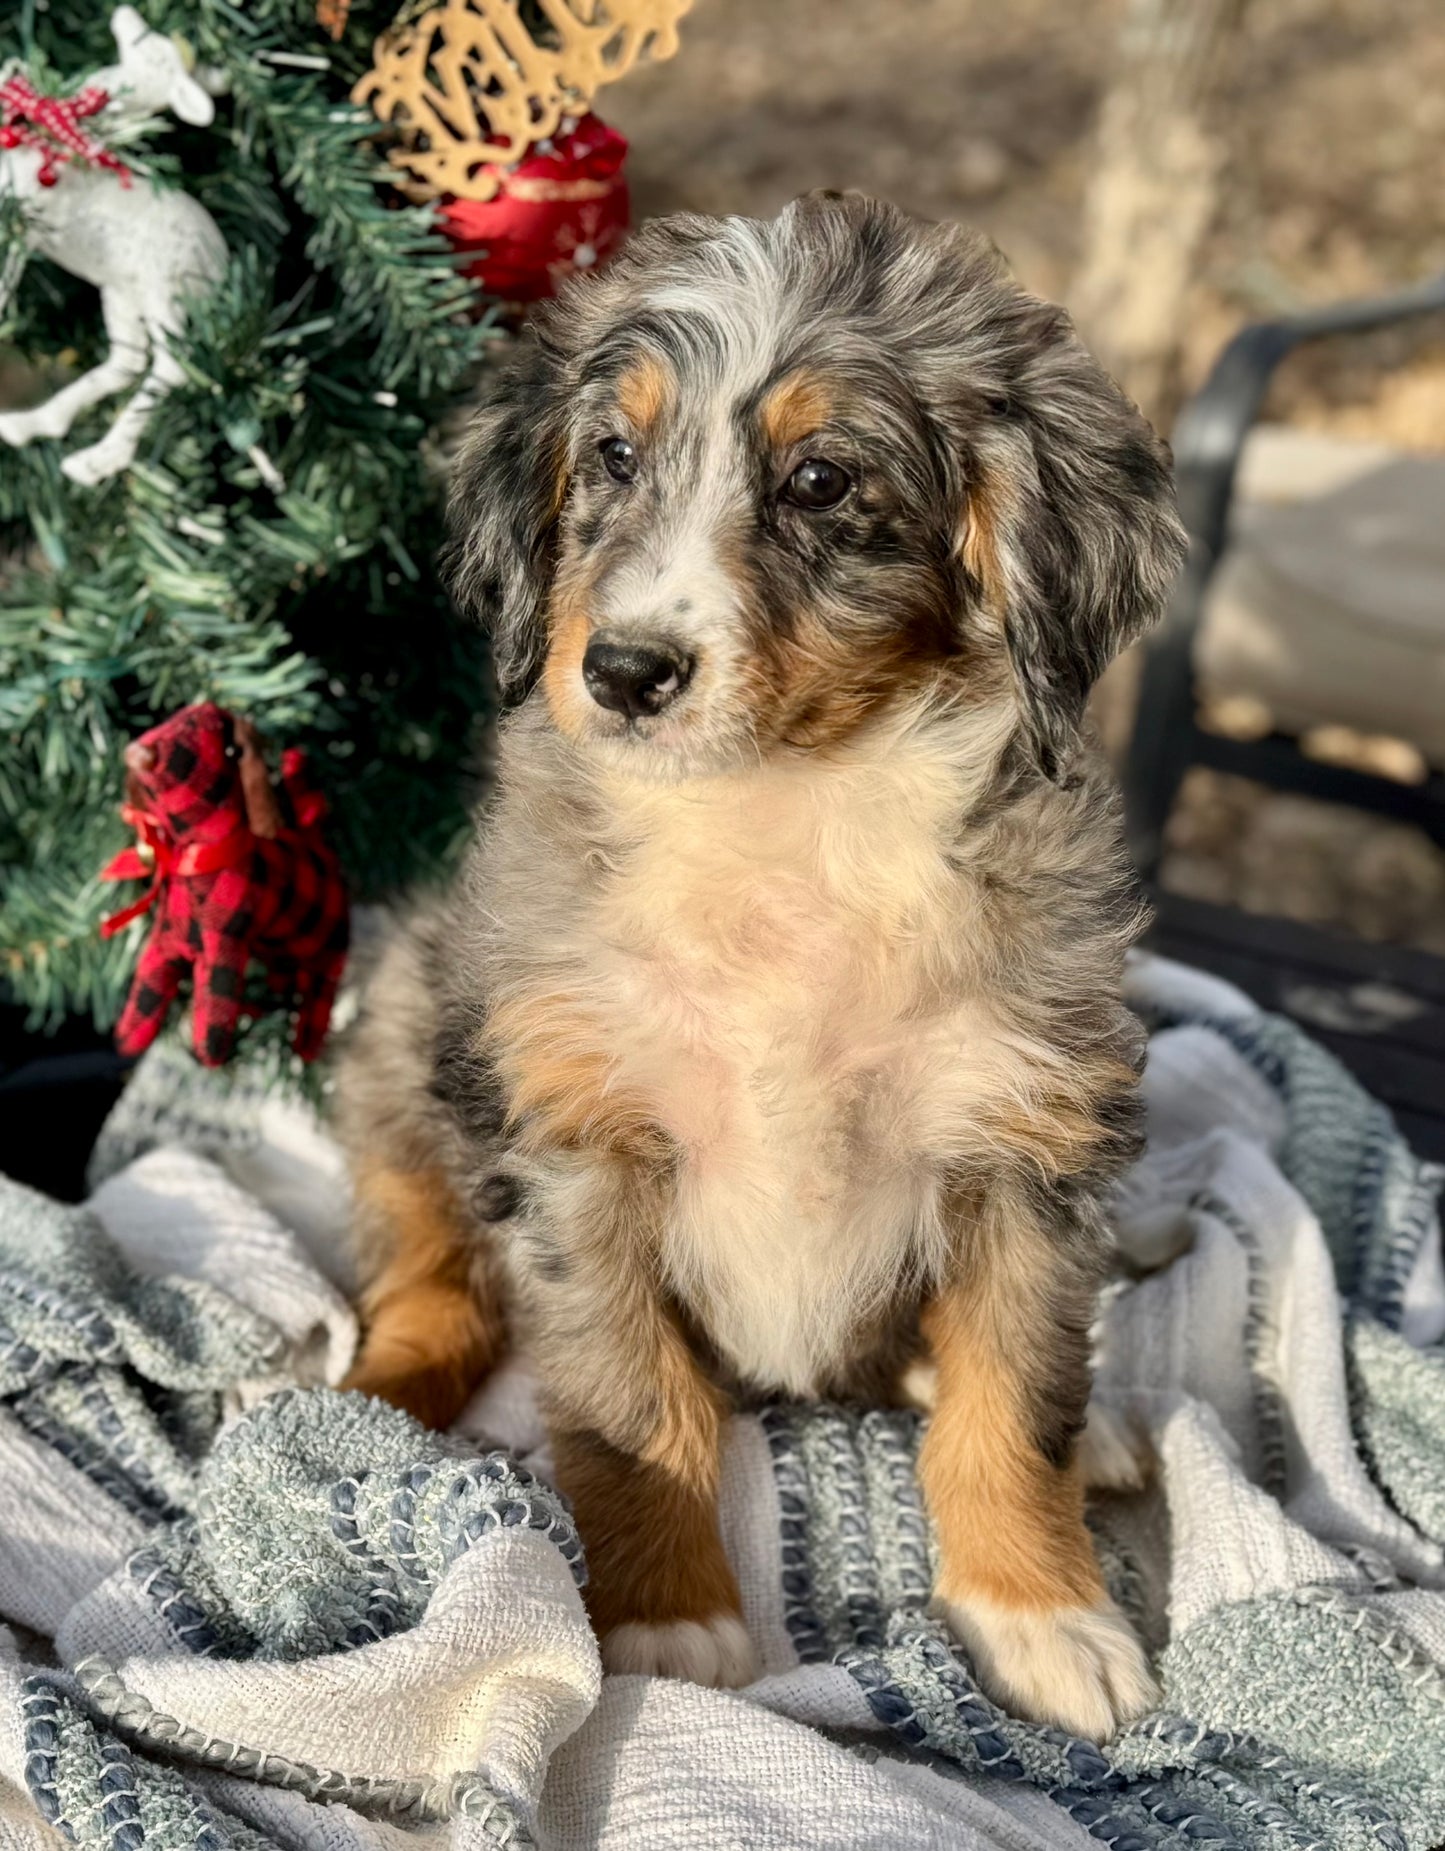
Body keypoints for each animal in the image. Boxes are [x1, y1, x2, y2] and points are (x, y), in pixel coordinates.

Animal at [338, 195, 1184, 1739]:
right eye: (612, 457)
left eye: (820, 479)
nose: (623, 672)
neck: (785, 810)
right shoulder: (581, 1138)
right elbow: (634, 1402)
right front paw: (667, 1619)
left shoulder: (1025, 1142)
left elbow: (1009, 1399)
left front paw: (1042, 1612)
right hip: (404, 1040)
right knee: (426, 1268)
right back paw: (372, 1393)